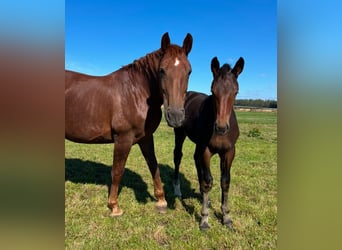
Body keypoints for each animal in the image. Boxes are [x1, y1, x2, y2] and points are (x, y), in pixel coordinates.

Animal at [65, 32, 192, 217]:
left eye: (189, 71)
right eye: (161, 70)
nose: (175, 116)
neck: (136, 92)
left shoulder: (146, 137)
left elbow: (153, 165)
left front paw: (161, 201)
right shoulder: (123, 139)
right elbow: (117, 171)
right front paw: (114, 206)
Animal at [174, 56, 243, 229]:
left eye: (236, 92)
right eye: (213, 91)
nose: (221, 127)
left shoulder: (229, 152)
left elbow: (225, 181)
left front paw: (226, 217)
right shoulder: (206, 149)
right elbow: (208, 181)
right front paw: (204, 219)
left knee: (196, 159)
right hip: (180, 134)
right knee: (178, 157)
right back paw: (177, 190)